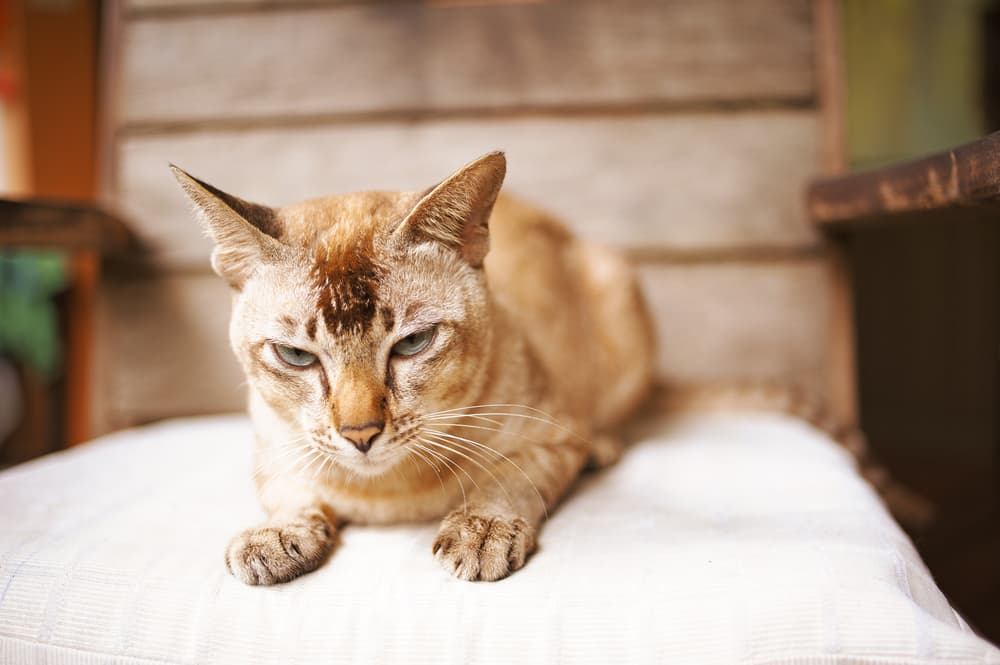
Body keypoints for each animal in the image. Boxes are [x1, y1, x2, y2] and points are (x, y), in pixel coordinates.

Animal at [172, 150, 656, 580]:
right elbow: (291, 493)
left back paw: (601, 447)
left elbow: (506, 480)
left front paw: (483, 532)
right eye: (296, 356)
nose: (360, 434)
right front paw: (272, 538)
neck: (387, 494)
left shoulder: (553, 439)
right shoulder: (274, 451)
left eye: (412, 343)